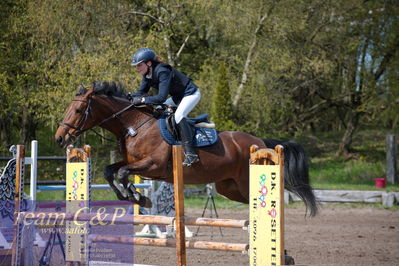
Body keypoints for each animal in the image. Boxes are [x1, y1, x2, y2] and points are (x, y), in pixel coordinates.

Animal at [55, 82, 318, 217]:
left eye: (78, 110)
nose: (60, 138)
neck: (134, 125)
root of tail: (260, 142)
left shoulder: (153, 166)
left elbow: (122, 173)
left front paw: (138, 197)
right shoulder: (134, 162)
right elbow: (112, 171)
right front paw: (133, 197)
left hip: (244, 182)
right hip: (228, 187)